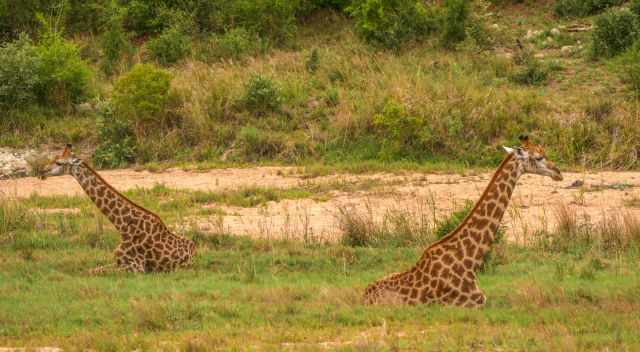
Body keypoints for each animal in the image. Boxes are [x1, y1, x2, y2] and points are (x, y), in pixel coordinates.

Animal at [40, 144, 195, 274]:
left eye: (59, 163)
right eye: (54, 159)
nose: (42, 171)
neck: (123, 227)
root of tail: (195, 249)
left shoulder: (136, 268)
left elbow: (93, 272)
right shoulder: (118, 262)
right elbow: (91, 269)